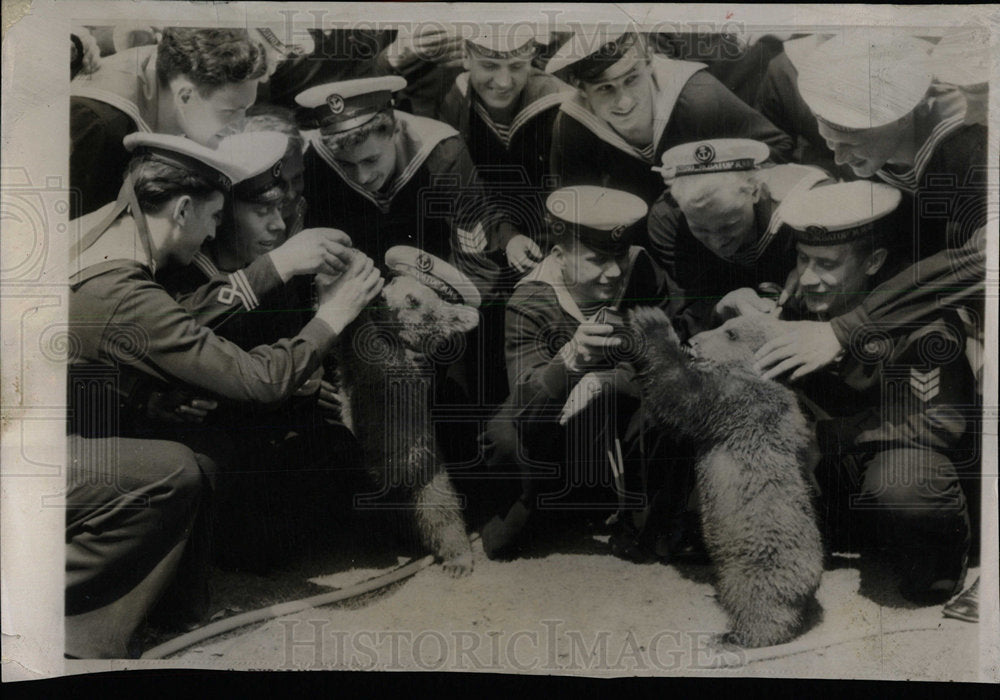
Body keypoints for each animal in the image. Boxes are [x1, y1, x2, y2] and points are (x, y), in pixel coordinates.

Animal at [332, 258, 480, 580]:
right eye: (392, 281)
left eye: (414, 299)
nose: (381, 298)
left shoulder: (401, 375)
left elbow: (370, 351)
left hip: (426, 471)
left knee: (443, 515)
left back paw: (459, 560)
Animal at [628, 308, 824, 648]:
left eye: (730, 332)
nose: (693, 341)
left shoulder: (735, 398)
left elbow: (681, 395)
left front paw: (652, 321)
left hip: (755, 567)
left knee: (761, 605)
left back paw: (734, 635)